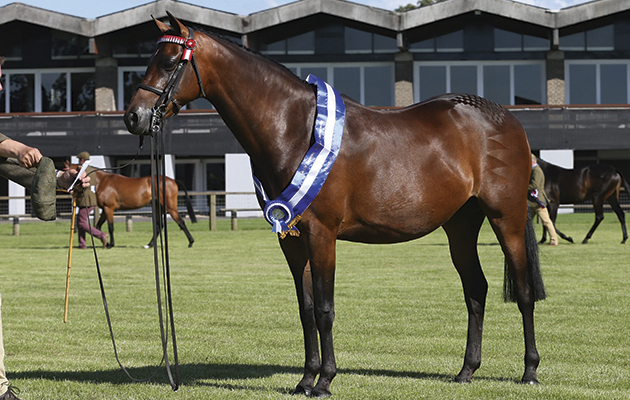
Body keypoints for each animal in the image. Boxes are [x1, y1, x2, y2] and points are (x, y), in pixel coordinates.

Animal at [123, 13, 548, 396]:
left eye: (169, 62)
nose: (133, 117)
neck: (295, 128)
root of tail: (505, 118)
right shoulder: (291, 239)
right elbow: (306, 309)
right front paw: (305, 380)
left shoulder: (322, 235)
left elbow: (325, 309)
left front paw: (326, 381)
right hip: (460, 224)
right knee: (475, 289)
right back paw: (466, 371)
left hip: (506, 217)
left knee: (525, 291)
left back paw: (529, 371)